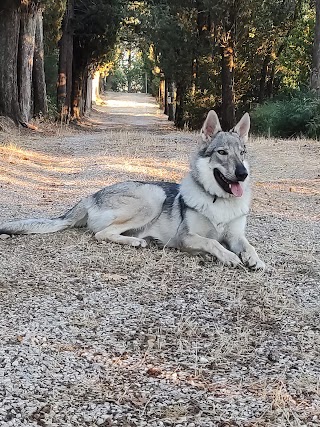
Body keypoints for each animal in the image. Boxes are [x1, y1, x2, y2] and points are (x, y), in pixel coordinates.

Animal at [0, 111, 264, 270]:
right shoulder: (186, 237)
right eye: (222, 153)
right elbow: (213, 243)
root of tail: (90, 196)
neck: (218, 201)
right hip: (152, 198)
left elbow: (248, 244)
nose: (243, 173)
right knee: (101, 234)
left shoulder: (235, 235)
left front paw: (254, 259)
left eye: (242, 153)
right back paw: (137, 242)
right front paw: (229, 256)